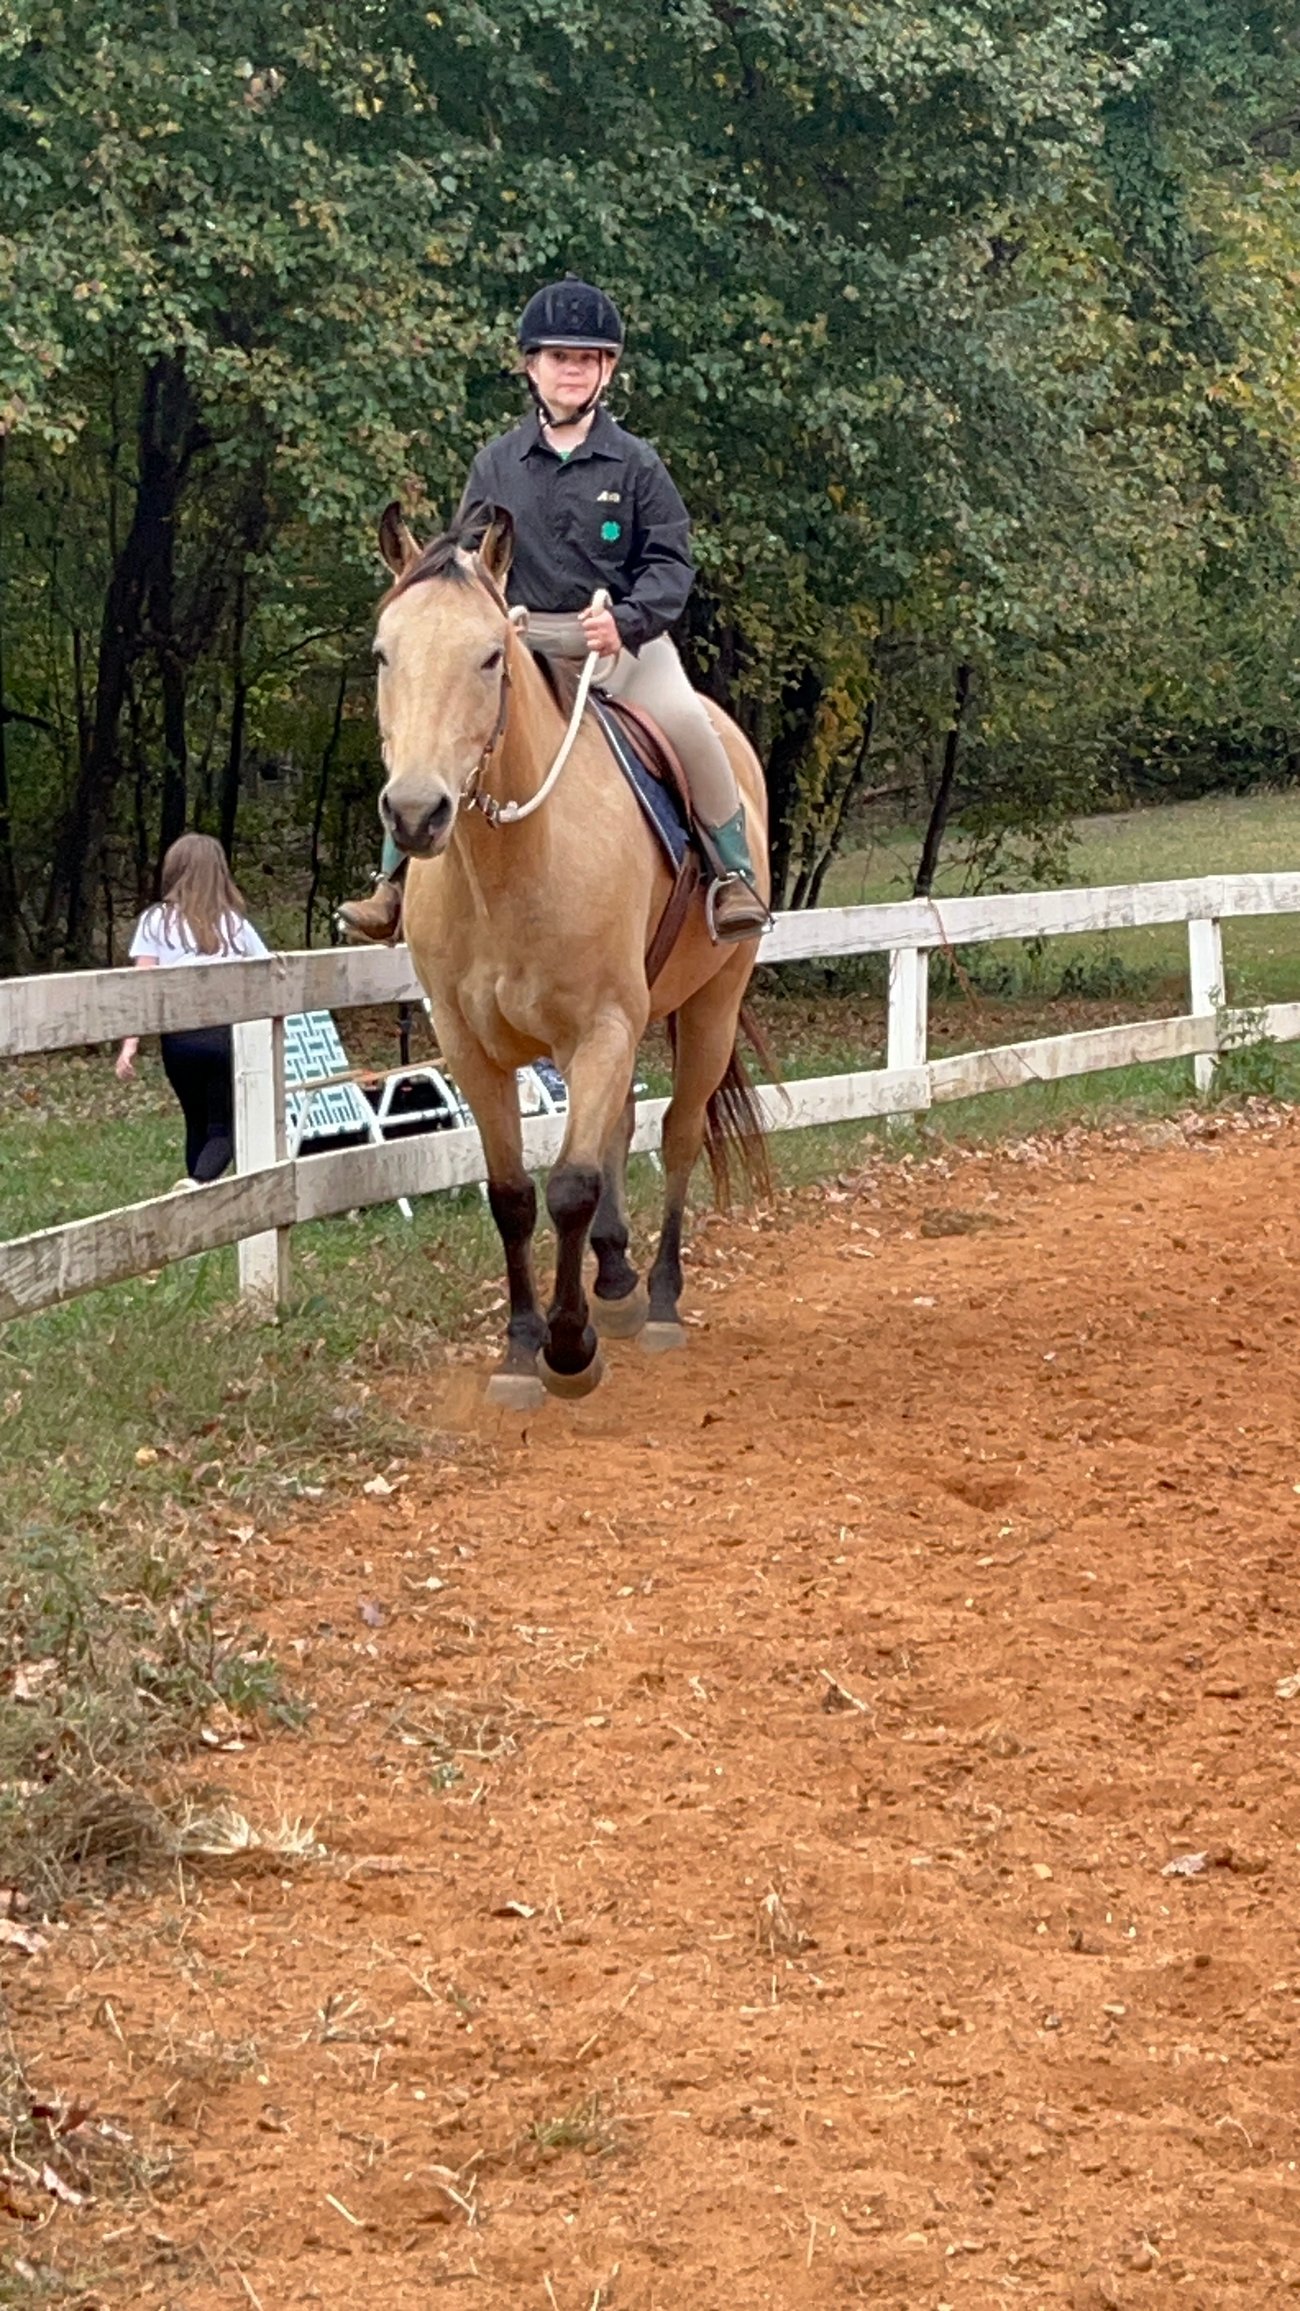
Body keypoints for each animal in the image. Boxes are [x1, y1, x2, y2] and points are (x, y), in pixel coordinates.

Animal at [372, 505, 770, 1408]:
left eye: (491, 654)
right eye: (383, 652)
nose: (415, 812)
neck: (514, 865)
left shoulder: (600, 1029)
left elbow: (571, 1186)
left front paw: (568, 1348)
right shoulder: (471, 1047)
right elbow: (514, 1195)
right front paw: (522, 1349)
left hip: (710, 1006)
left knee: (679, 1132)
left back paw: (657, 1301)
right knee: (621, 1125)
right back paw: (616, 1282)